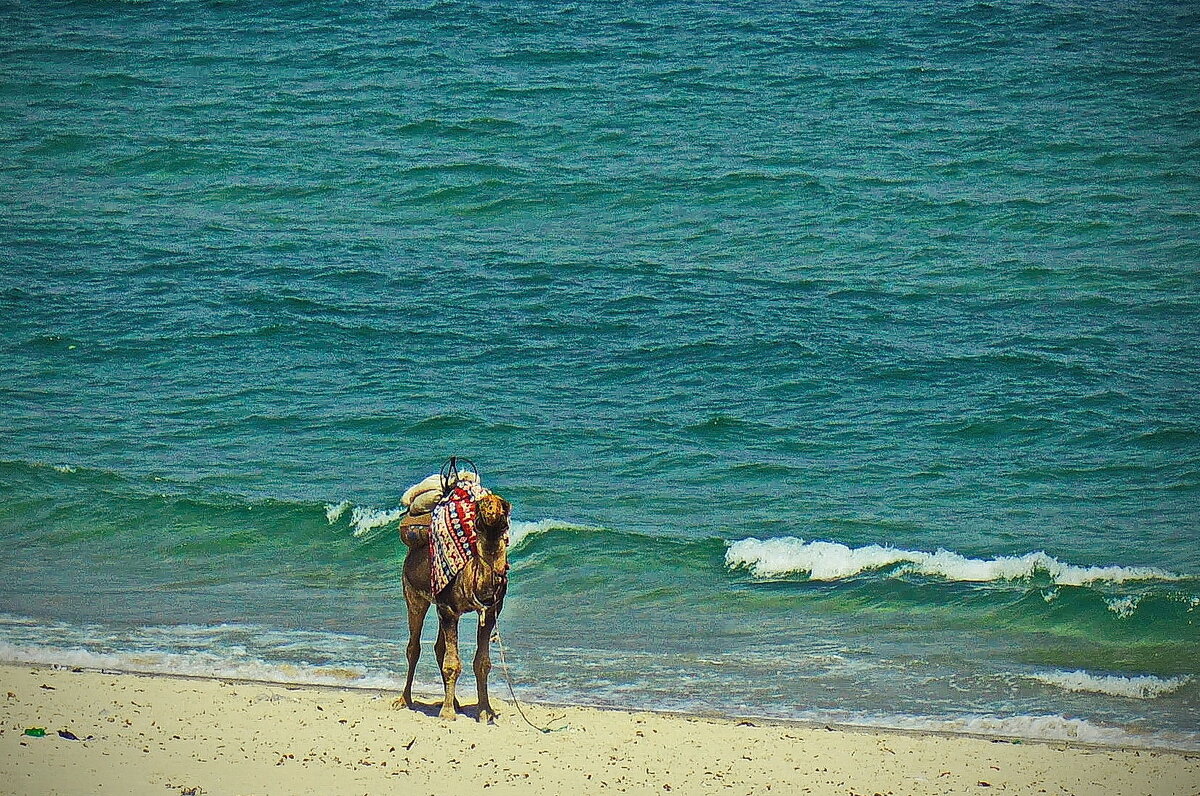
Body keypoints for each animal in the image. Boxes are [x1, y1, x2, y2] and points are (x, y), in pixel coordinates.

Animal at [391, 492, 508, 720]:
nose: (491, 505)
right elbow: (452, 664)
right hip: (413, 593)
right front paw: (446, 713)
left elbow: (482, 663)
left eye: (505, 509)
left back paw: (454, 701)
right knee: (413, 647)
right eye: (479, 511)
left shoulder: (490, 611)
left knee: (439, 647)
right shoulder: (448, 609)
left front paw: (485, 711)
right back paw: (404, 700)